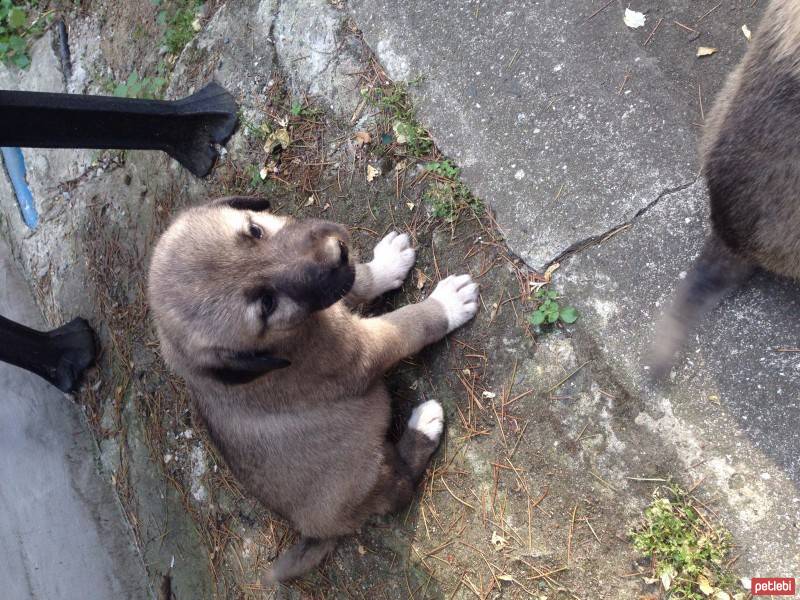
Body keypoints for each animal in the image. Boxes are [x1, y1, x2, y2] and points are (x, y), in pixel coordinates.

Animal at [146, 196, 478, 580]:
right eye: (267, 304)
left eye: (255, 230)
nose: (337, 252)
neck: (282, 342)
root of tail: (313, 532)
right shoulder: (360, 352)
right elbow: (407, 325)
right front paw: (448, 305)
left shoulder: (335, 298)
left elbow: (359, 280)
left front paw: (387, 262)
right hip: (365, 468)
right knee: (400, 488)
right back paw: (423, 425)